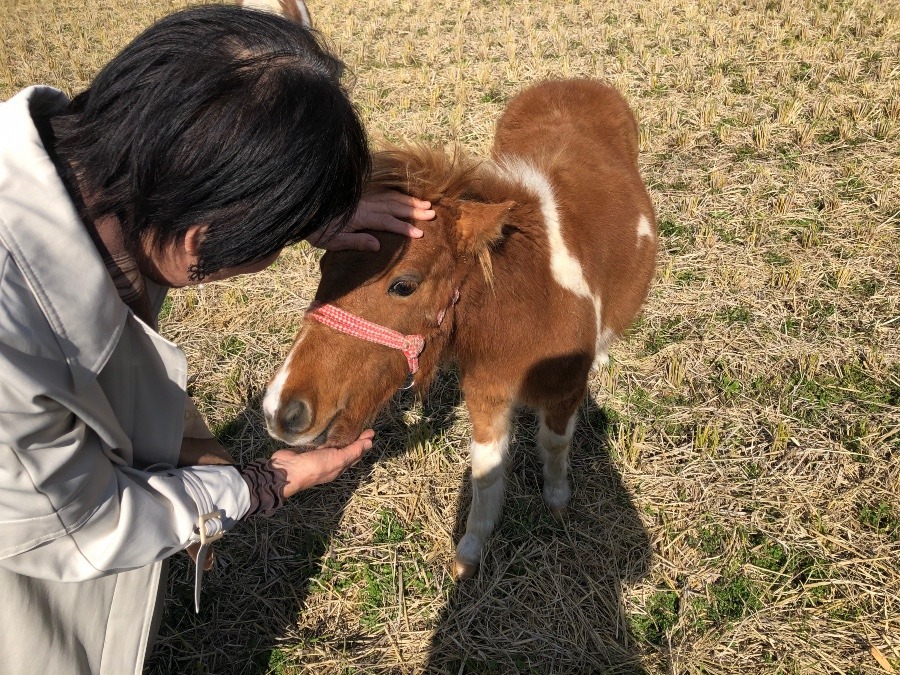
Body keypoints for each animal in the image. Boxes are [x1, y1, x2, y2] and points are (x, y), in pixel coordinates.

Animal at [264, 78, 656, 576]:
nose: (282, 411)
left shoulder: (564, 391)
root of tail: (575, 82)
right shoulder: (486, 392)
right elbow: (486, 471)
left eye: (403, 285)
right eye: (325, 265)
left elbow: (554, 444)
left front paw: (557, 500)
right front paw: (471, 550)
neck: (530, 306)